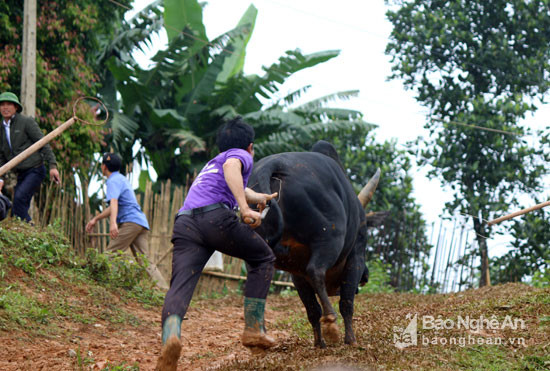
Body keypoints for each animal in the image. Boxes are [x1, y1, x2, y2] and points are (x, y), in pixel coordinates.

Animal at [249, 140, 382, 348]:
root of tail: (274, 165)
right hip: (330, 239)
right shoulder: (356, 256)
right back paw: (331, 323)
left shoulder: (296, 274)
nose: (366, 276)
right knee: (316, 271)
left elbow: (312, 309)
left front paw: (319, 343)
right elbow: (346, 303)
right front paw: (350, 339)